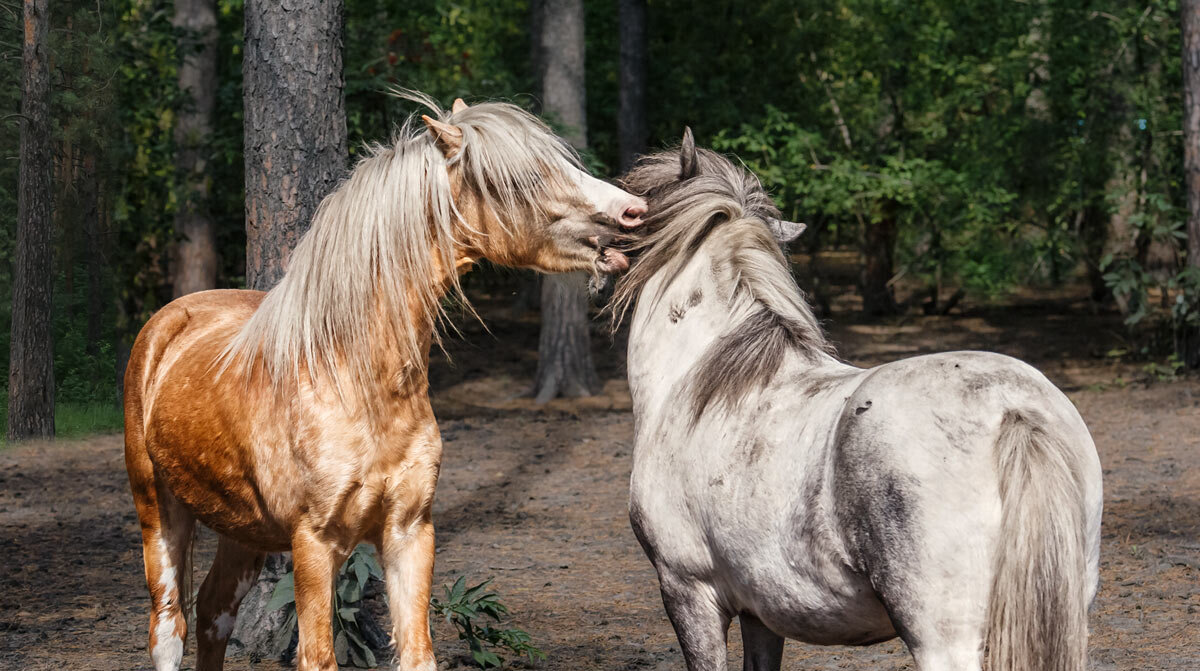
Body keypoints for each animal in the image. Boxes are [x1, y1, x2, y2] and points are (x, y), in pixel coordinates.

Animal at [123, 96, 648, 671]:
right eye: (523, 178)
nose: (633, 210)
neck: (357, 382)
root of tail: (171, 318)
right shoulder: (314, 544)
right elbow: (317, 656)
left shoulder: (409, 532)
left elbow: (417, 654)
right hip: (159, 513)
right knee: (169, 626)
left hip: (242, 531)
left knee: (214, 612)